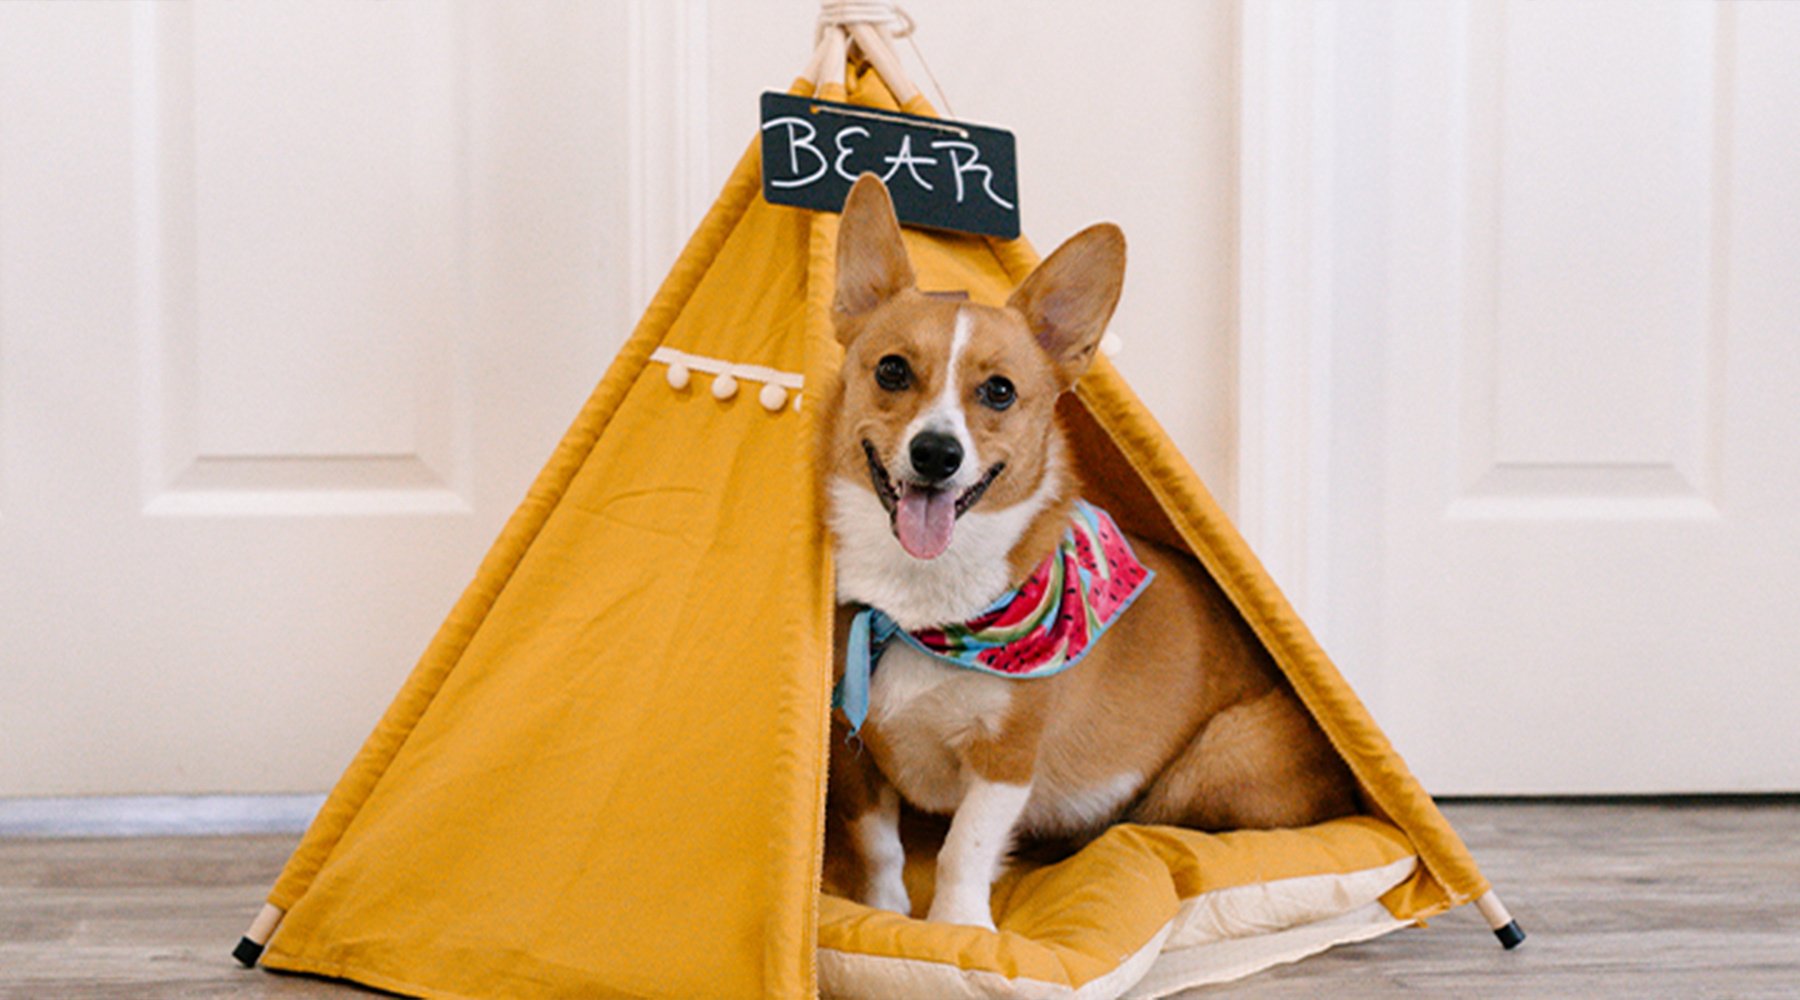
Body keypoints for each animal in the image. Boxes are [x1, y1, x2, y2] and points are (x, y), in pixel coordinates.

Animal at [817, 173, 1353, 928]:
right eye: (891, 371)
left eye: (999, 391)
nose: (936, 453)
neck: (925, 606)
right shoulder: (852, 750)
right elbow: (880, 845)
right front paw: (889, 915)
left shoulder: (1006, 757)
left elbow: (962, 850)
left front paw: (960, 929)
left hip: (1209, 763)